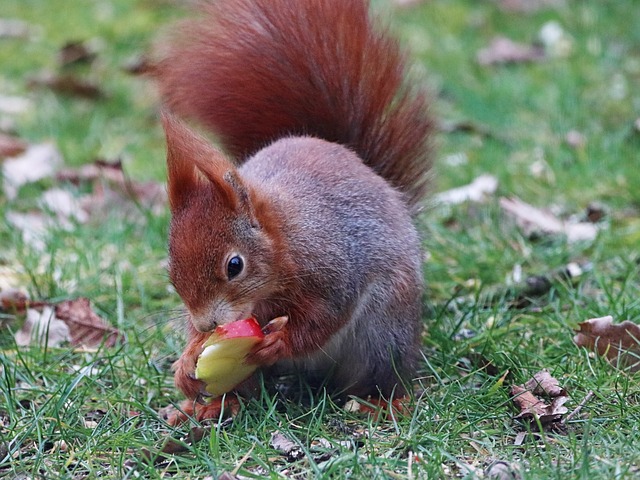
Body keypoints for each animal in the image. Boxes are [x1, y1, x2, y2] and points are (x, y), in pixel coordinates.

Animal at [155, 0, 436, 420]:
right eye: (171, 269)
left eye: (234, 266)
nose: (207, 324)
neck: (282, 239)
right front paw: (187, 360)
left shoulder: (333, 267)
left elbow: (327, 315)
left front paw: (280, 343)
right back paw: (215, 404)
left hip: (384, 329)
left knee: (380, 372)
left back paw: (382, 403)